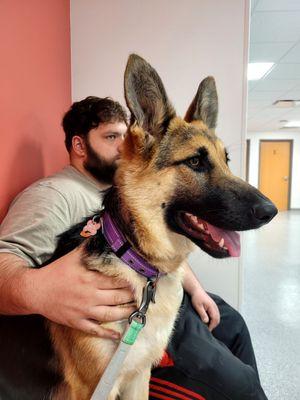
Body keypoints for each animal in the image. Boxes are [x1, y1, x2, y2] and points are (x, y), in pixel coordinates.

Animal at [0, 54, 276, 400]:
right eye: (195, 162)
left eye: (226, 161)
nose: (271, 211)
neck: (135, 258)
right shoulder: (94, 388)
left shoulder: (138, 375)